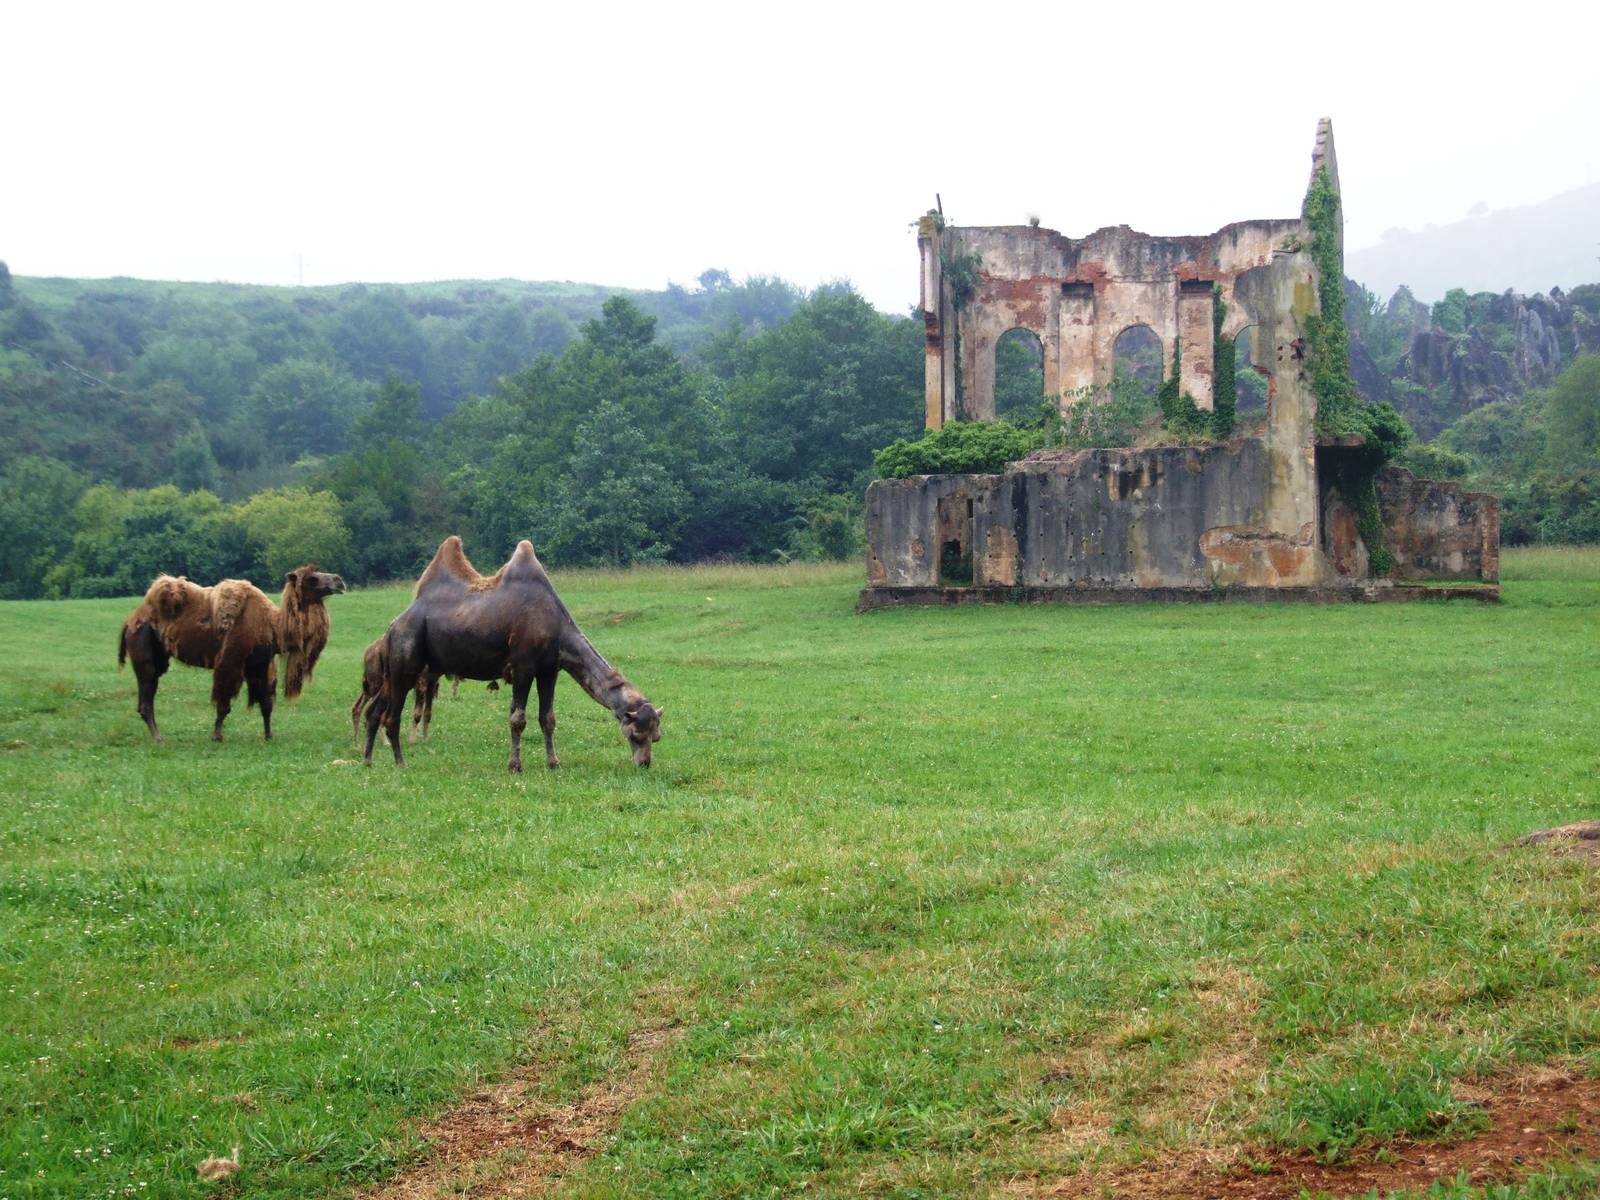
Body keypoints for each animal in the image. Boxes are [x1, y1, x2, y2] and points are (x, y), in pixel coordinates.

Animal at [119, 566, 346, 742]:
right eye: (312, 578)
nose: (339, 581)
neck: (273, 626)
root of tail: (130, 620)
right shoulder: (231, 660)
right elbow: (224, 703)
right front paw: (217, 736)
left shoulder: (260, 664)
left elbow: (266, 704)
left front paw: (269, 735)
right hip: (144, 653)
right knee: (146, 699)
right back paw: (158, 738)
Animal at [364, 536, 662, 772]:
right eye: (636, 734)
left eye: (657, 736)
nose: (644, 764)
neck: (556, 627)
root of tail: (392, 627)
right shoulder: (523, 666)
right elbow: (518, 719)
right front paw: (515, 765)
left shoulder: (549, 669)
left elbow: (548, 718)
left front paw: (554, 763)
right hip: (407, 657)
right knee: (392, 715)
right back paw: (400, 763)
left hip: (397, 667)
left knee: (375, 709)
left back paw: (368, 760)